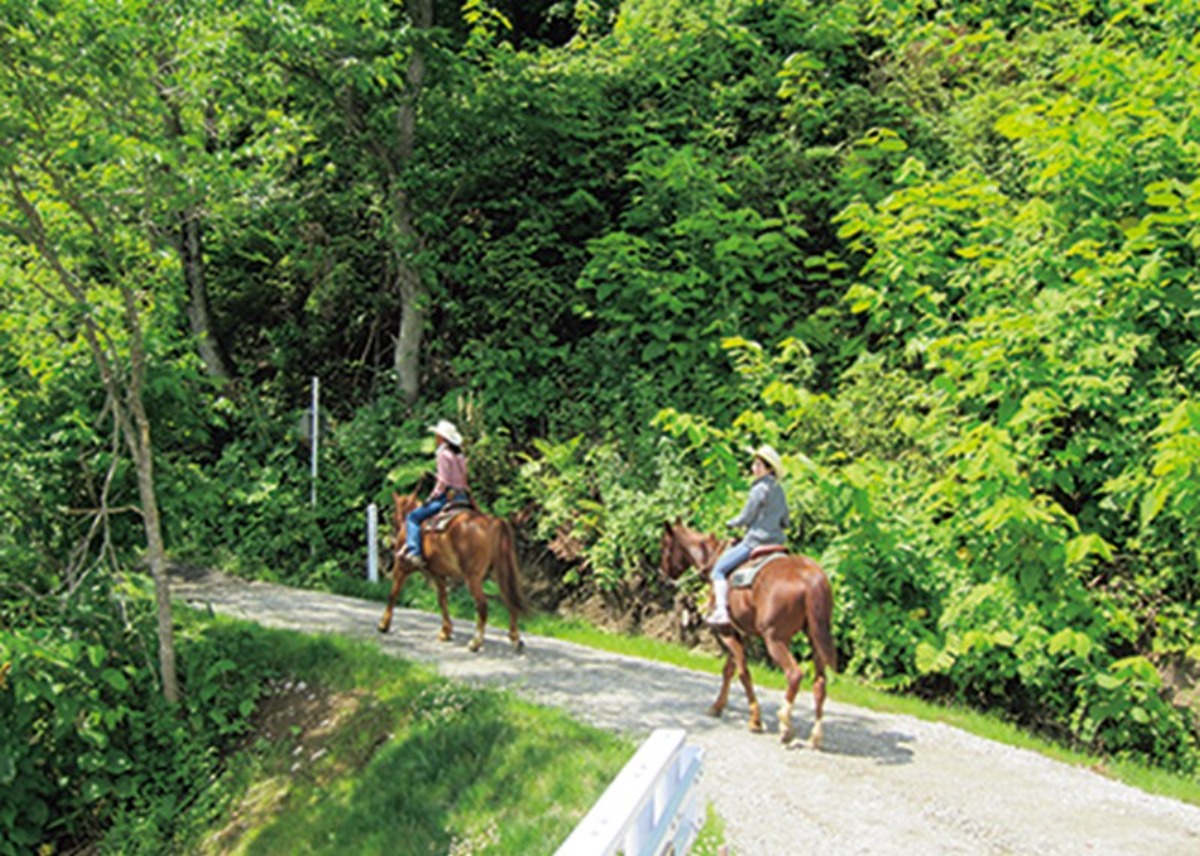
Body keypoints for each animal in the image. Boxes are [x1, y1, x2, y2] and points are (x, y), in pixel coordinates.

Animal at [374, 489, 525, 653]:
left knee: (483, 605)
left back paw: (476, 642)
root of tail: (494, 523)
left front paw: (383, 624)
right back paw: (515, 638)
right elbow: (442, 600)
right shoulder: (439, 575)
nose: (393, 539)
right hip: (500, 574)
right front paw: (445, 631)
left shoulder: (402, 567)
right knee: (510, 600)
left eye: (394, 516)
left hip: (473, 578)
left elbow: (393, 594)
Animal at [657, 518, 835, 744]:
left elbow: (743, 673)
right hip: (815, 638)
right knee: (820, 683)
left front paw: (755, 720)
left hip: (774, 640)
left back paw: (785, 725)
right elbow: (729, 670)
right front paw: (718, 706)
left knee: (794, 674)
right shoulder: (741, 634)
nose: (662, 577)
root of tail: (809, 577)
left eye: (665, 546)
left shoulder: (726, 631)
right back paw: (816, 736)